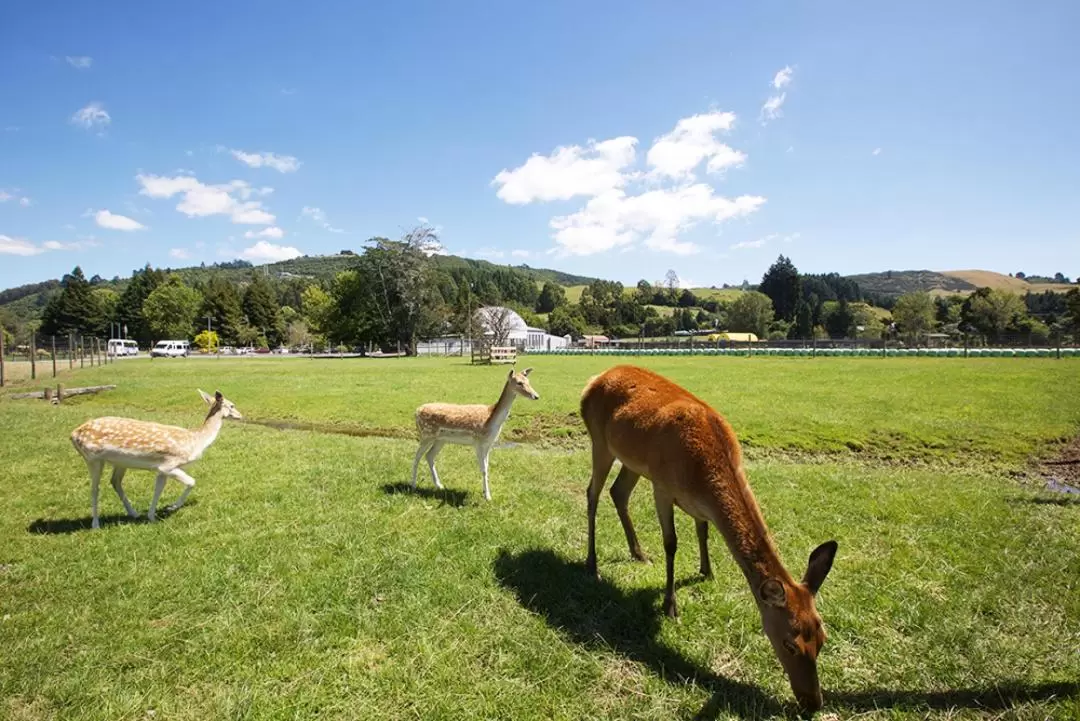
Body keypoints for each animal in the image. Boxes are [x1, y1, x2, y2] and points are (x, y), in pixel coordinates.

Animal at [70, 390, 241, 526]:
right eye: (232, 405)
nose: (241, 415)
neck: (196, 441)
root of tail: (73, 434)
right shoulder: (168, 464)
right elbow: (191, 482)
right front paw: (171, 507)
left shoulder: (161, 469)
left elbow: (158, 489)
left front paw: (152, 516)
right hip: (92, 458)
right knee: (95, 488)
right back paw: (95, 524)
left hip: (120, 462)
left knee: (115, 481)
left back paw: (134, 513)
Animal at [410, 366, 540, 500]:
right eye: (519, 383)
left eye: (528, 381)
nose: (536, 396)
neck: (491, 421)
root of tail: (416, 412)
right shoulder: (478, 442)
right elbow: (483, 469)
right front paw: (487, 496)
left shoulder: (488, 444)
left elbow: (487, 467)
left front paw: (485, 492)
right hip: (426, 435)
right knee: (417, 456)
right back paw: (413, 485)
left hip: (440, 439)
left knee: (429, 456)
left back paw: (439, 485)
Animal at [578, 366, 838, 708]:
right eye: (789, 643)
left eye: (822, 638)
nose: (813, 702)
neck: (704, 470)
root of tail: (596, 377)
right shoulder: (662, 486)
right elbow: (671, 543)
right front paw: (670, 605)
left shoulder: (697, 504)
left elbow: (703, 532)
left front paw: (707, 571)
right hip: (600, 442)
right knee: (592, 493)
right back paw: (592, 564)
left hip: (631, 460)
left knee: (618, 492)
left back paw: (639, 553)